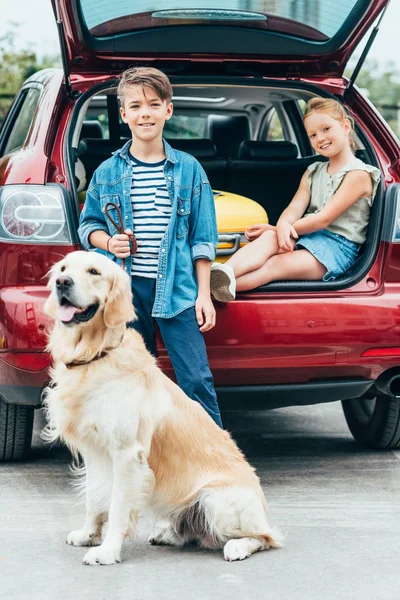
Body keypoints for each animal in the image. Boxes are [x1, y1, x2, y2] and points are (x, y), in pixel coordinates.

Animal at [43, 251, 282, 564]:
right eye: (62, 268)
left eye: (94, 271)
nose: (62, 282)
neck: (95, 355)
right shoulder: (94, 451)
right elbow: (93, 500)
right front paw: (88, 535)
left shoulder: (127, 454)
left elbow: (118, 508)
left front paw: (107, 550)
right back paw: (169, 534)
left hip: (218, 500)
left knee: (266, 537)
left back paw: (238, 547)